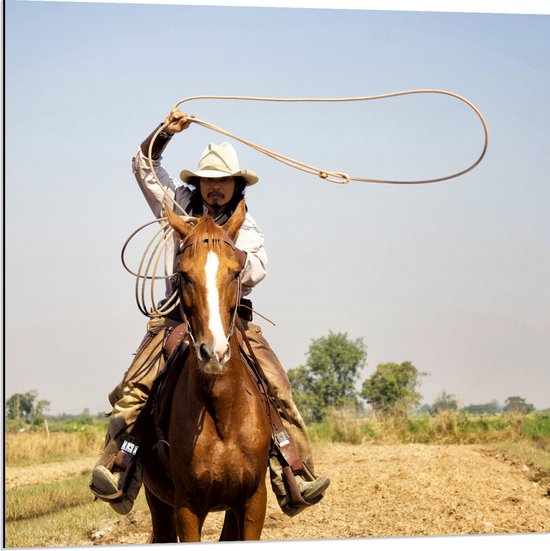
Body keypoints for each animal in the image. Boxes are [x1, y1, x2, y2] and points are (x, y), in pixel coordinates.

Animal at [142, 201, 272, 540]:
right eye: (184, 275)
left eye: (236, 272)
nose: (214, 352)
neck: (222, 411)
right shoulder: (186, 506)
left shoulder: (253, 500)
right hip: (158, 502)